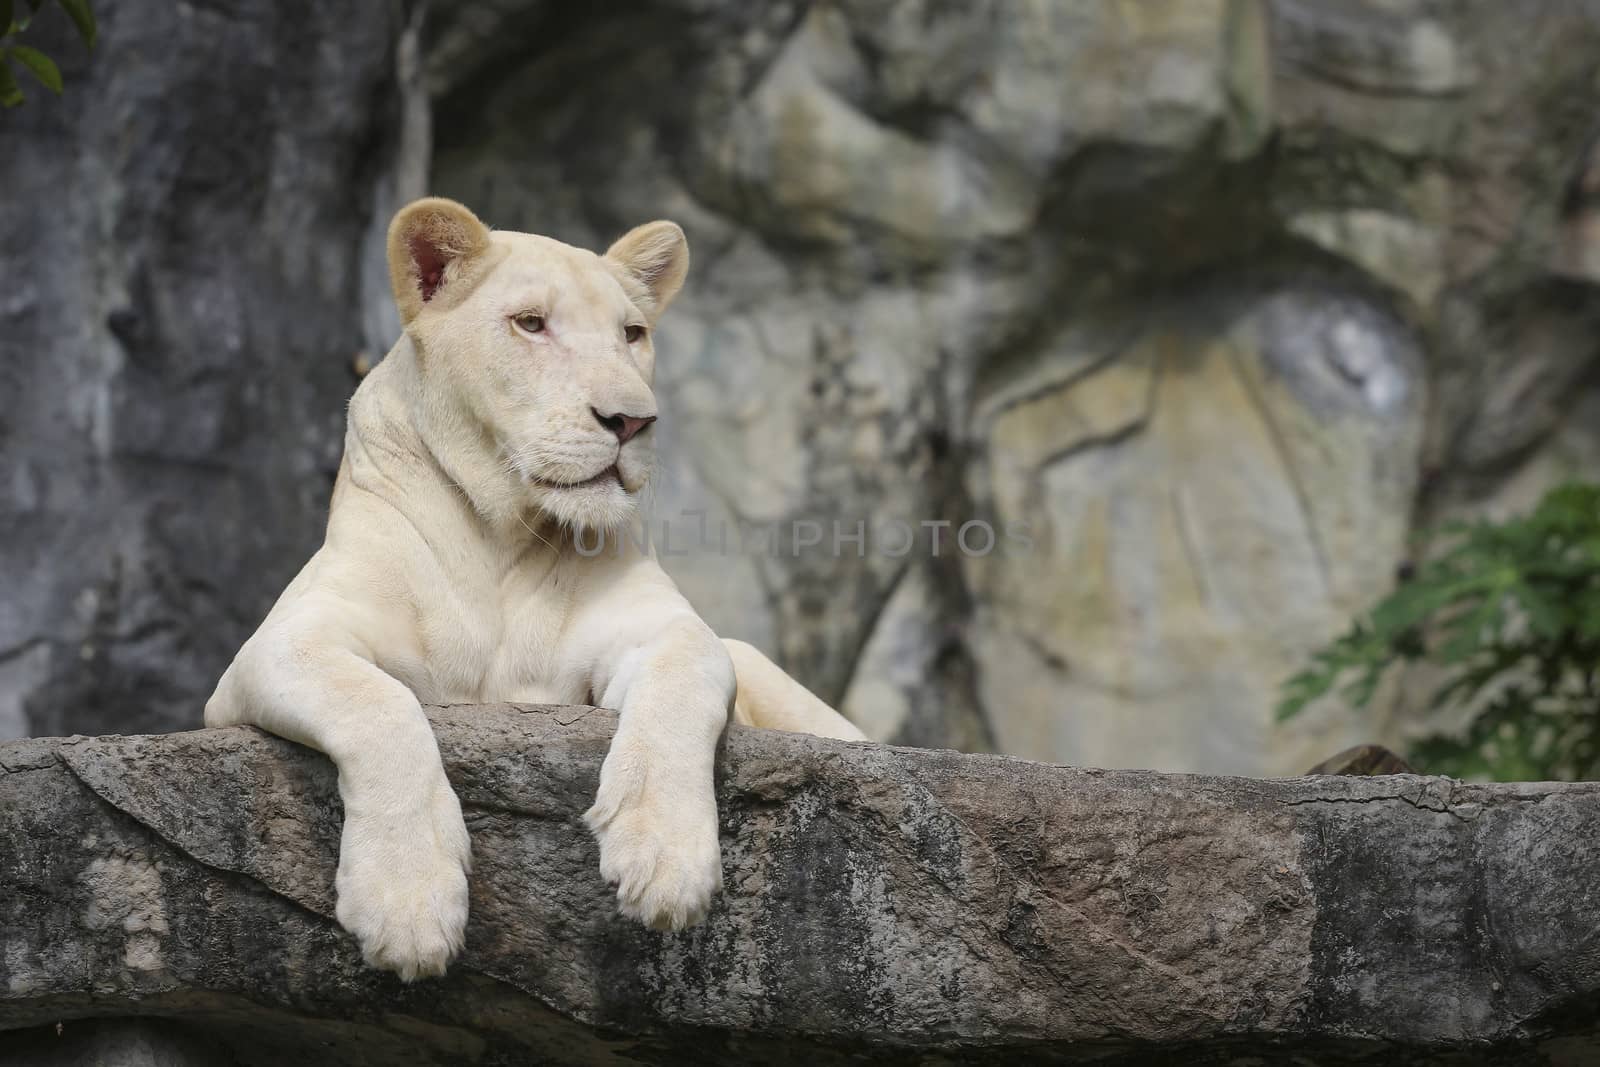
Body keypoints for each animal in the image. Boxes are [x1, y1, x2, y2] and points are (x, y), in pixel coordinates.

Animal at [211, 195, 870, 979]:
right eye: (531, 323)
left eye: (631, 333)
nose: (631, 420)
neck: (504, 531)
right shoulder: (276, 645)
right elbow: (377, 704)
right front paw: (407, 903)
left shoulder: (664, 627)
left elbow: (683, 679)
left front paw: (664, 859)